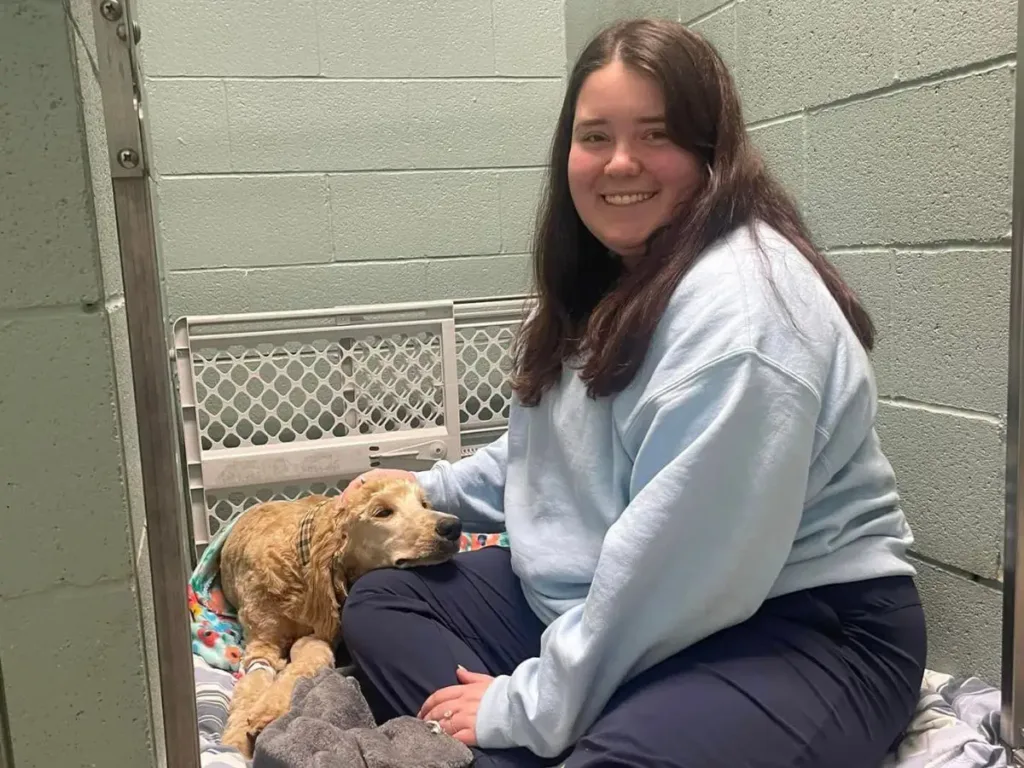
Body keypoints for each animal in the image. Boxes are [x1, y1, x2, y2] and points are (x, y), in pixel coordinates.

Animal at [219, 479, 460, 753]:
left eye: (423, 504)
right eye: (382, 512)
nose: (453, 526)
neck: (301, 565)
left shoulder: (319, 634)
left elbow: (305, 663)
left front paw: (268, 711)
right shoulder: (261, 644)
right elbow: (251, 684)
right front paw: (235, 738)